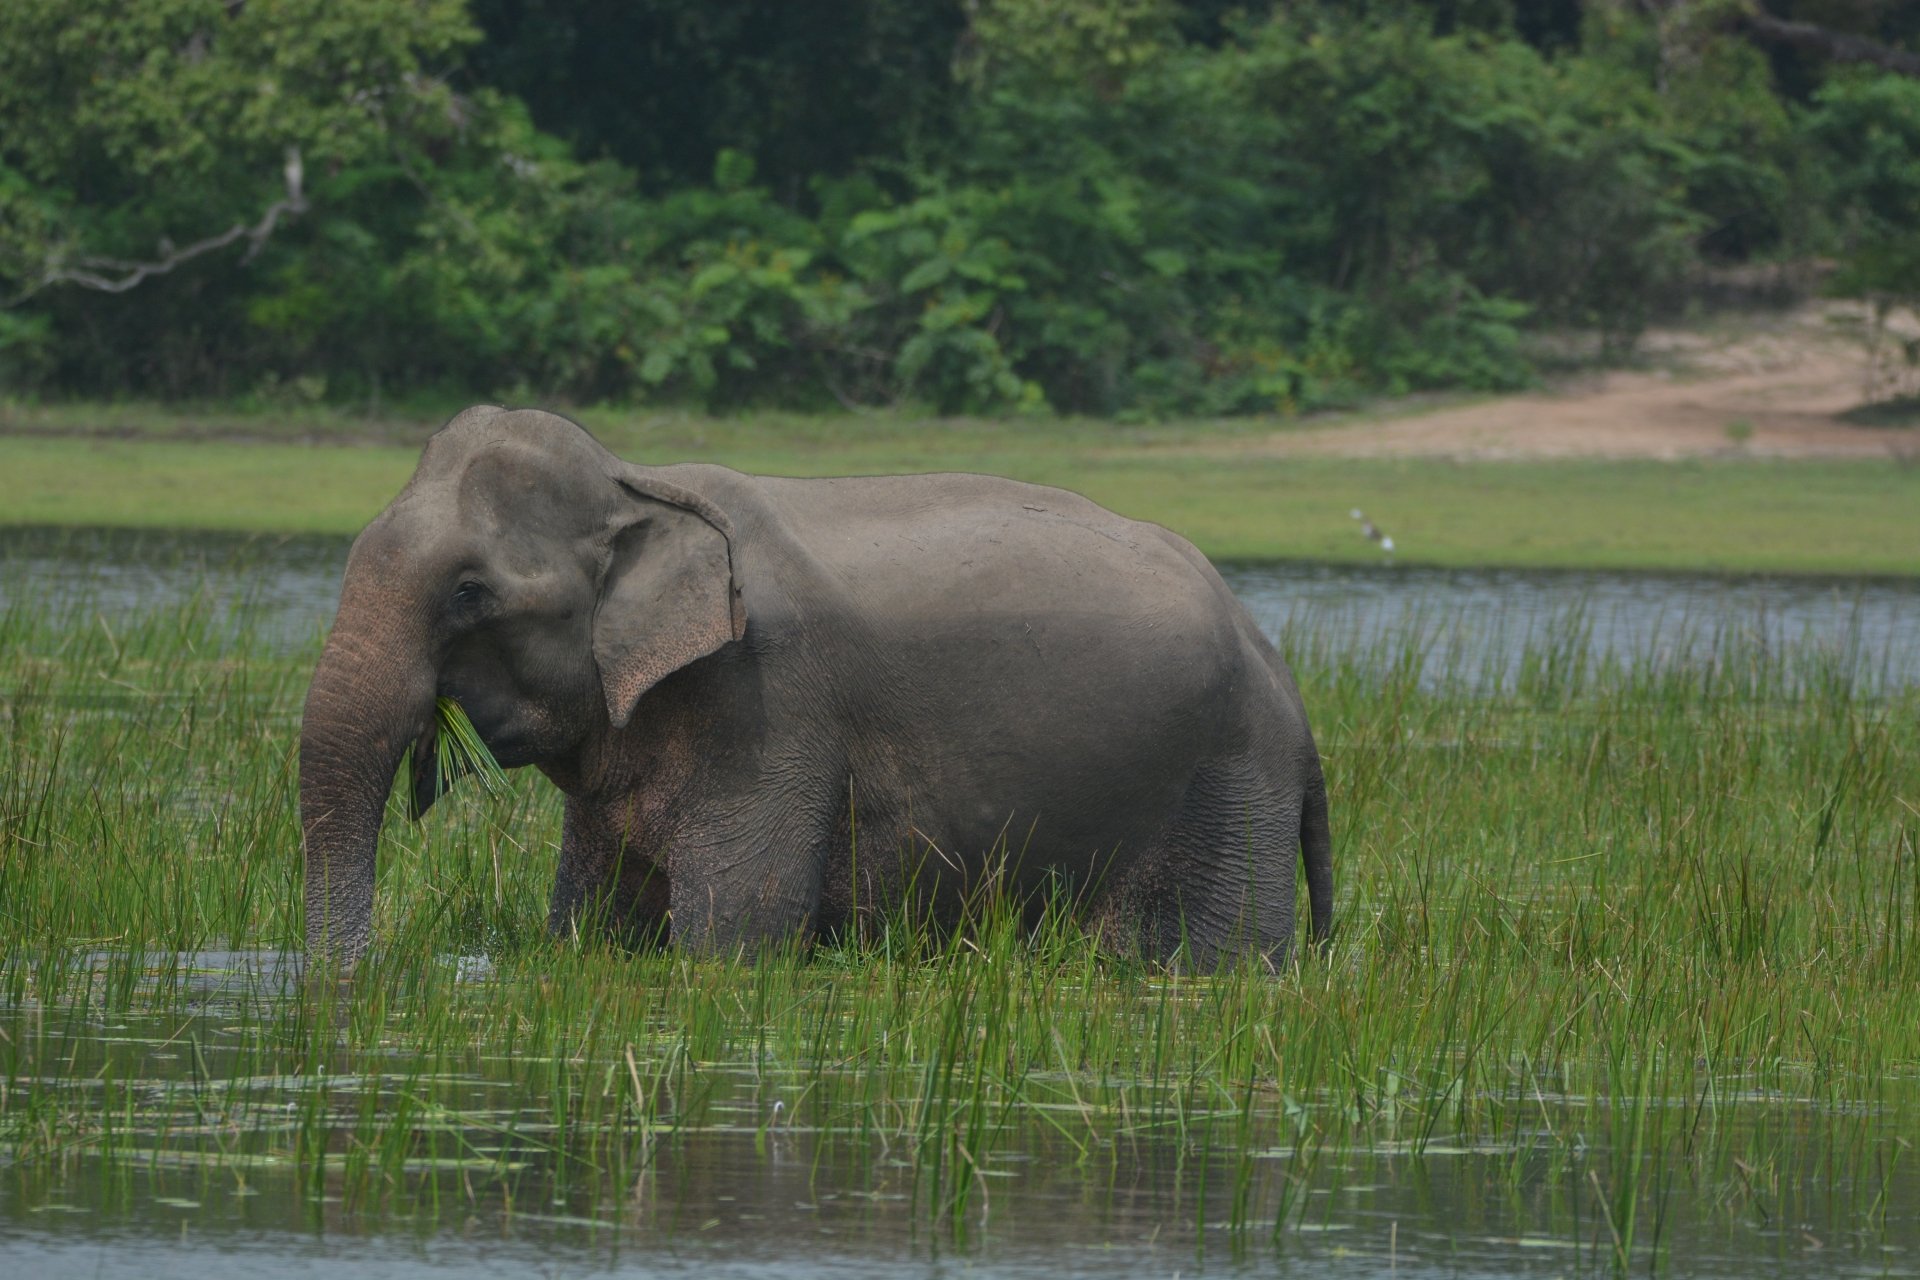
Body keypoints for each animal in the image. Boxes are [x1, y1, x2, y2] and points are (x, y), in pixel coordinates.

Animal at [299, 406, 1332, 970]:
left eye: (469, 593)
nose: (359, 978)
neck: (643, 482)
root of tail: (1283, 675)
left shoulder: (764, 707)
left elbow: (735, 938)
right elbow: (593, 928)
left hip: (1228, 797)